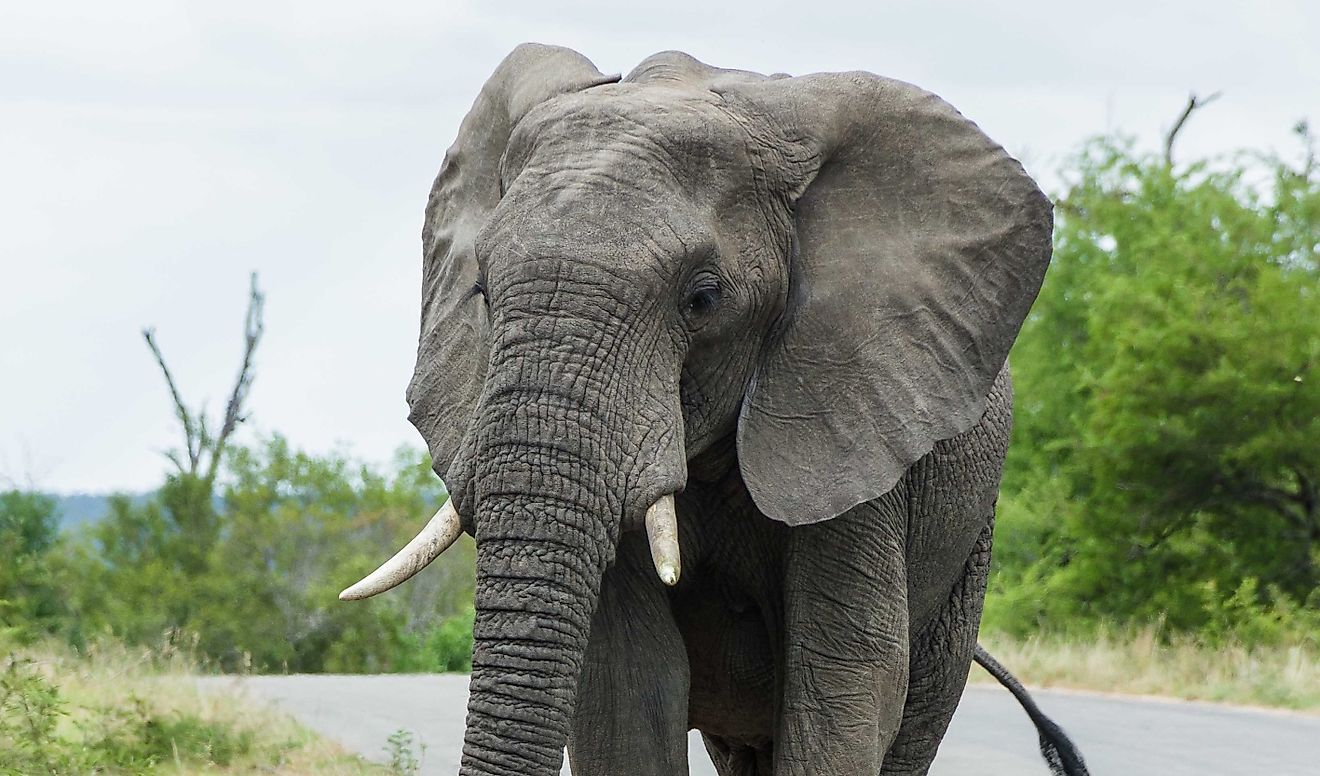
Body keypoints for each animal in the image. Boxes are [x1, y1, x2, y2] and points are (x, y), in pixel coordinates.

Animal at [337, 43, 1082, 776]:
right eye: (483, 292)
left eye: (702, 298)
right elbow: (627, 687)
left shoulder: (856, 423)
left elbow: (844, 685)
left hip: (967, 548)